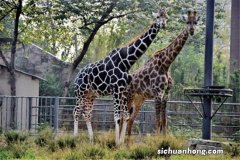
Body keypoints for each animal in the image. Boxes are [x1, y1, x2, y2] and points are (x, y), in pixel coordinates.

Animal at [73, 8, 169, 145]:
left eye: (167, 17)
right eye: (157, 17)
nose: (163, 24)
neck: (126, 62)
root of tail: (77, 76)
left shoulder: (123, 90)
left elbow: (126, 116)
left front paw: (122, 142)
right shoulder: (116, 89)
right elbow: (117, 117)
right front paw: (116, 142)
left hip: (90, 95)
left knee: (87, 113)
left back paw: (91, 139)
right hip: (80, 92)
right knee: (76, 111)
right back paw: (74, 138)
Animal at [126, 10, 200, 142]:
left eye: (196, 22)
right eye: (187, 22)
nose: (192, 30)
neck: (166, 64)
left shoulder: (166, 94)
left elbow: (164, 120)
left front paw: (164, 140)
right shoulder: (158, 93)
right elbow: (158, 120)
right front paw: (156, 141)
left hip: (139, 100)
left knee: (130, 120)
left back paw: (127, 144)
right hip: (128, 97)